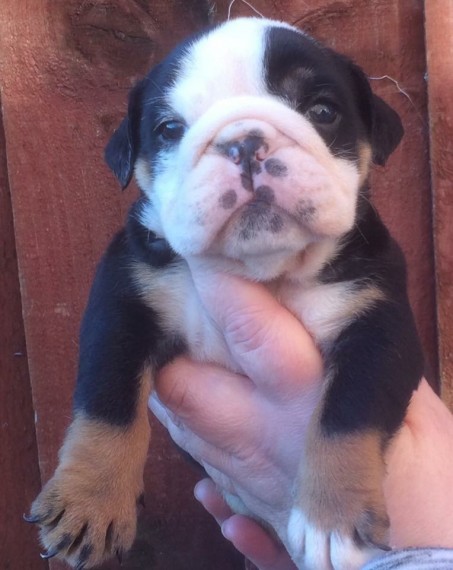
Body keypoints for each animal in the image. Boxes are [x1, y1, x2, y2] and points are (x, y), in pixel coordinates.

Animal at [27, 17, 423, 570]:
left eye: (322, 111)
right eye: (169, 129)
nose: (245, 142)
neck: (264, 271)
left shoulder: (377, 327)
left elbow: (346, 415)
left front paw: (330, 519)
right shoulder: (124, 304)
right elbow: (107, 403)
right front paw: (91, 500)